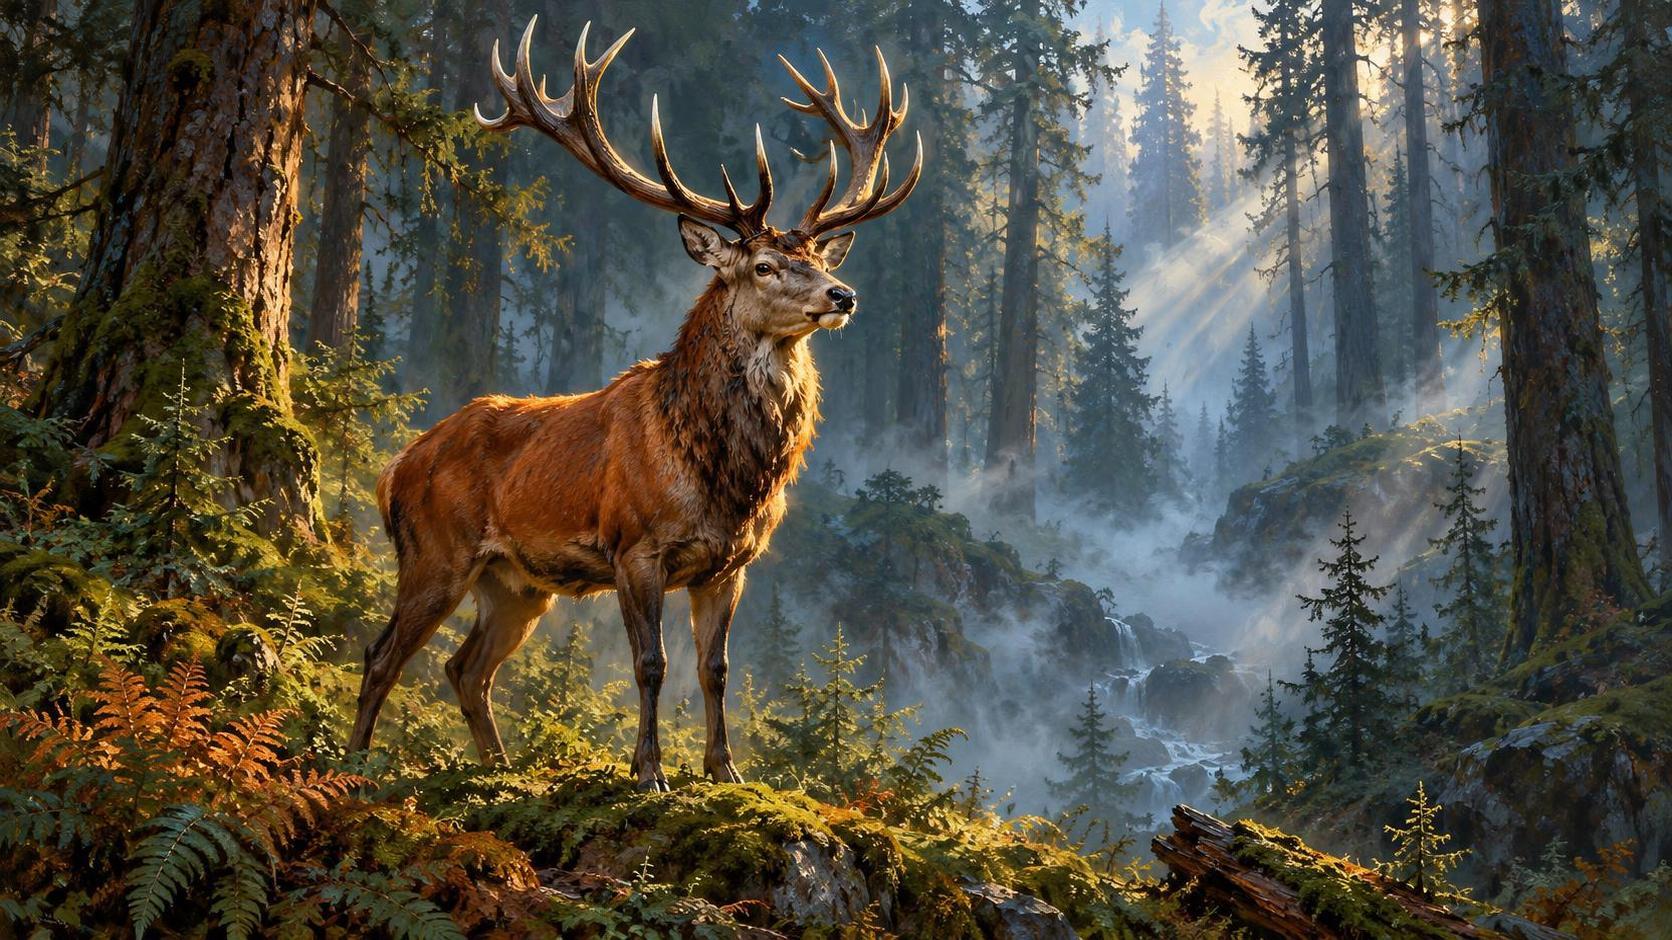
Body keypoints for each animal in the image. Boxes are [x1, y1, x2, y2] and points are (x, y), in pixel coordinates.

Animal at [346, 18, 921, 790]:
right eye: (764, 266)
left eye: (819, 260)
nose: (843, 294)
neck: (723, 476)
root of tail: (396, 465)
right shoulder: (634, 547)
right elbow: (652, 664)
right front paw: (649, 771)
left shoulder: (731, 563)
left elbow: (716, 669)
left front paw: (725, 771)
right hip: (435, 552)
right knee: (382, 655)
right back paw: (354, 763)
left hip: (515, 584)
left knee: (465, 669)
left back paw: (502, 770)